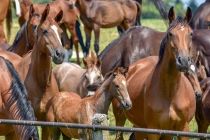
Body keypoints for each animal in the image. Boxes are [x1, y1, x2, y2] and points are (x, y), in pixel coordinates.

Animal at [112, 7, 196, 139]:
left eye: (191, 34)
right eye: (170, 34)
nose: (183, 61)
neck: (170, 94)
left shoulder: (181, 130)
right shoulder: (153, 131)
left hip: (140, 127)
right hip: (121, 120)